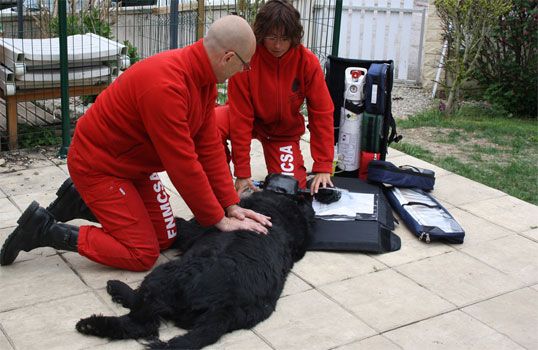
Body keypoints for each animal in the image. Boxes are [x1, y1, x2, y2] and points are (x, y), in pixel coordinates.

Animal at [73, 187, 312, 348]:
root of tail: (224, 308)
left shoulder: (191, 230)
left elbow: (178, 224)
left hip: (165, 275)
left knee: (142, 324)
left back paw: (98, 315)